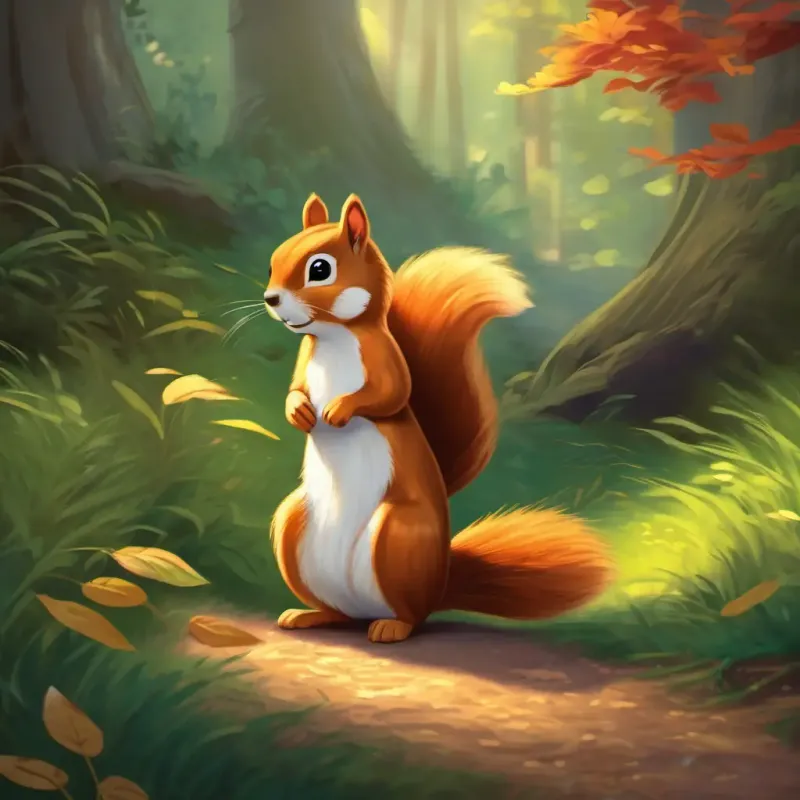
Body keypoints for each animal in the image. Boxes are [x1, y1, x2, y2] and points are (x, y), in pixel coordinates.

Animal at [263, 192, 613, 644]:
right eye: (273, 261)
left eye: (320, 269)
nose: (271, 298)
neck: (334, 337)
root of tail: (441, 584)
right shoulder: (305, 362)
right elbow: (292, 392)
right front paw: (300, 412)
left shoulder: (385, 359)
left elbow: (391, 395)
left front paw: (339, 409)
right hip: (293, 525)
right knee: (337, 610)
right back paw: (309, 615)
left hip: (399, 535)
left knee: (411, 615)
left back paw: (392, 627)